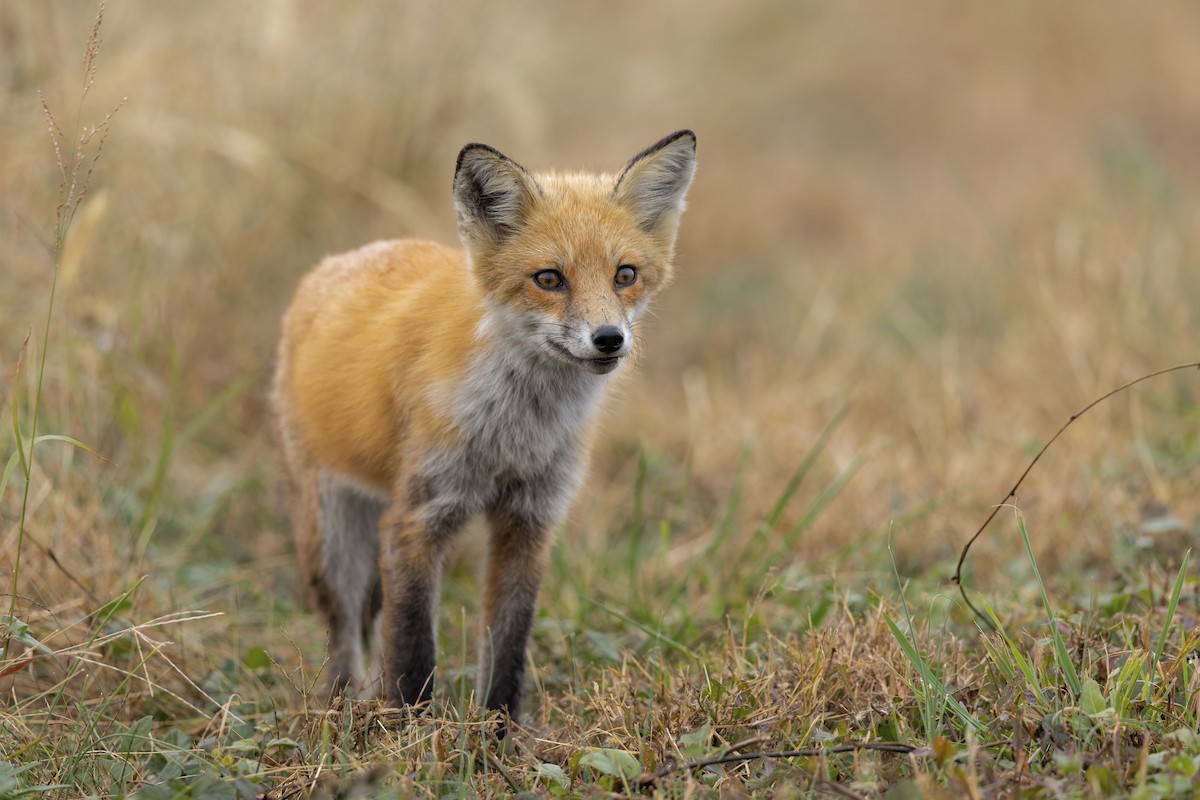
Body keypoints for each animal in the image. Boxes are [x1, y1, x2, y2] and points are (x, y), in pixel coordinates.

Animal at [271, 130, 696, 726]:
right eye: (549, 279)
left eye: (625, 275)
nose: (609, 338)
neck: (518, 432)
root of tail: (340, 260)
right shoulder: (418, 517)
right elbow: (413, 654)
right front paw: (412, 735)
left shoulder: (529, 519)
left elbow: (507, 647)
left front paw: (500, 735)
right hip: (334, 538)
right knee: (346, 633)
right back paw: (342, 712)